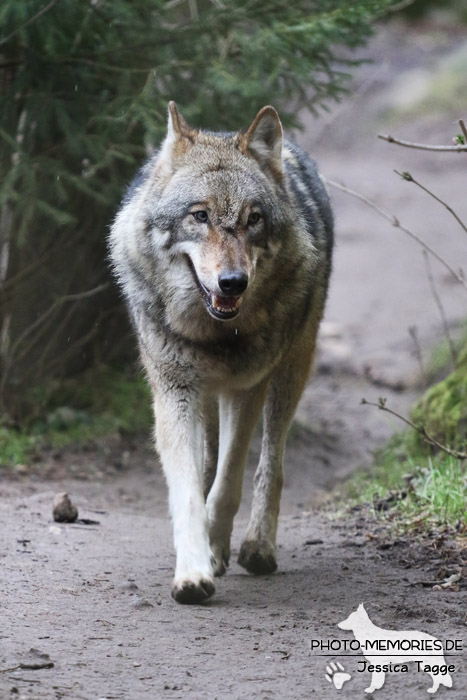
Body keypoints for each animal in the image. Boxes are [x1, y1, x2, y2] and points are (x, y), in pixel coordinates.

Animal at [109, 101, 334, 604]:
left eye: (253, 219)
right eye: (200, 215)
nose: (233, 283)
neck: (212, 333)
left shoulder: (246, 388)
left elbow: (228, 483)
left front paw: (215, 547)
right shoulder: (173, 390)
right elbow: (190, 489)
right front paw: (194, 571)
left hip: (291, 370)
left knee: (270, 463)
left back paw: (256, 547)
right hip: (206, 396)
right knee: (208, 461)